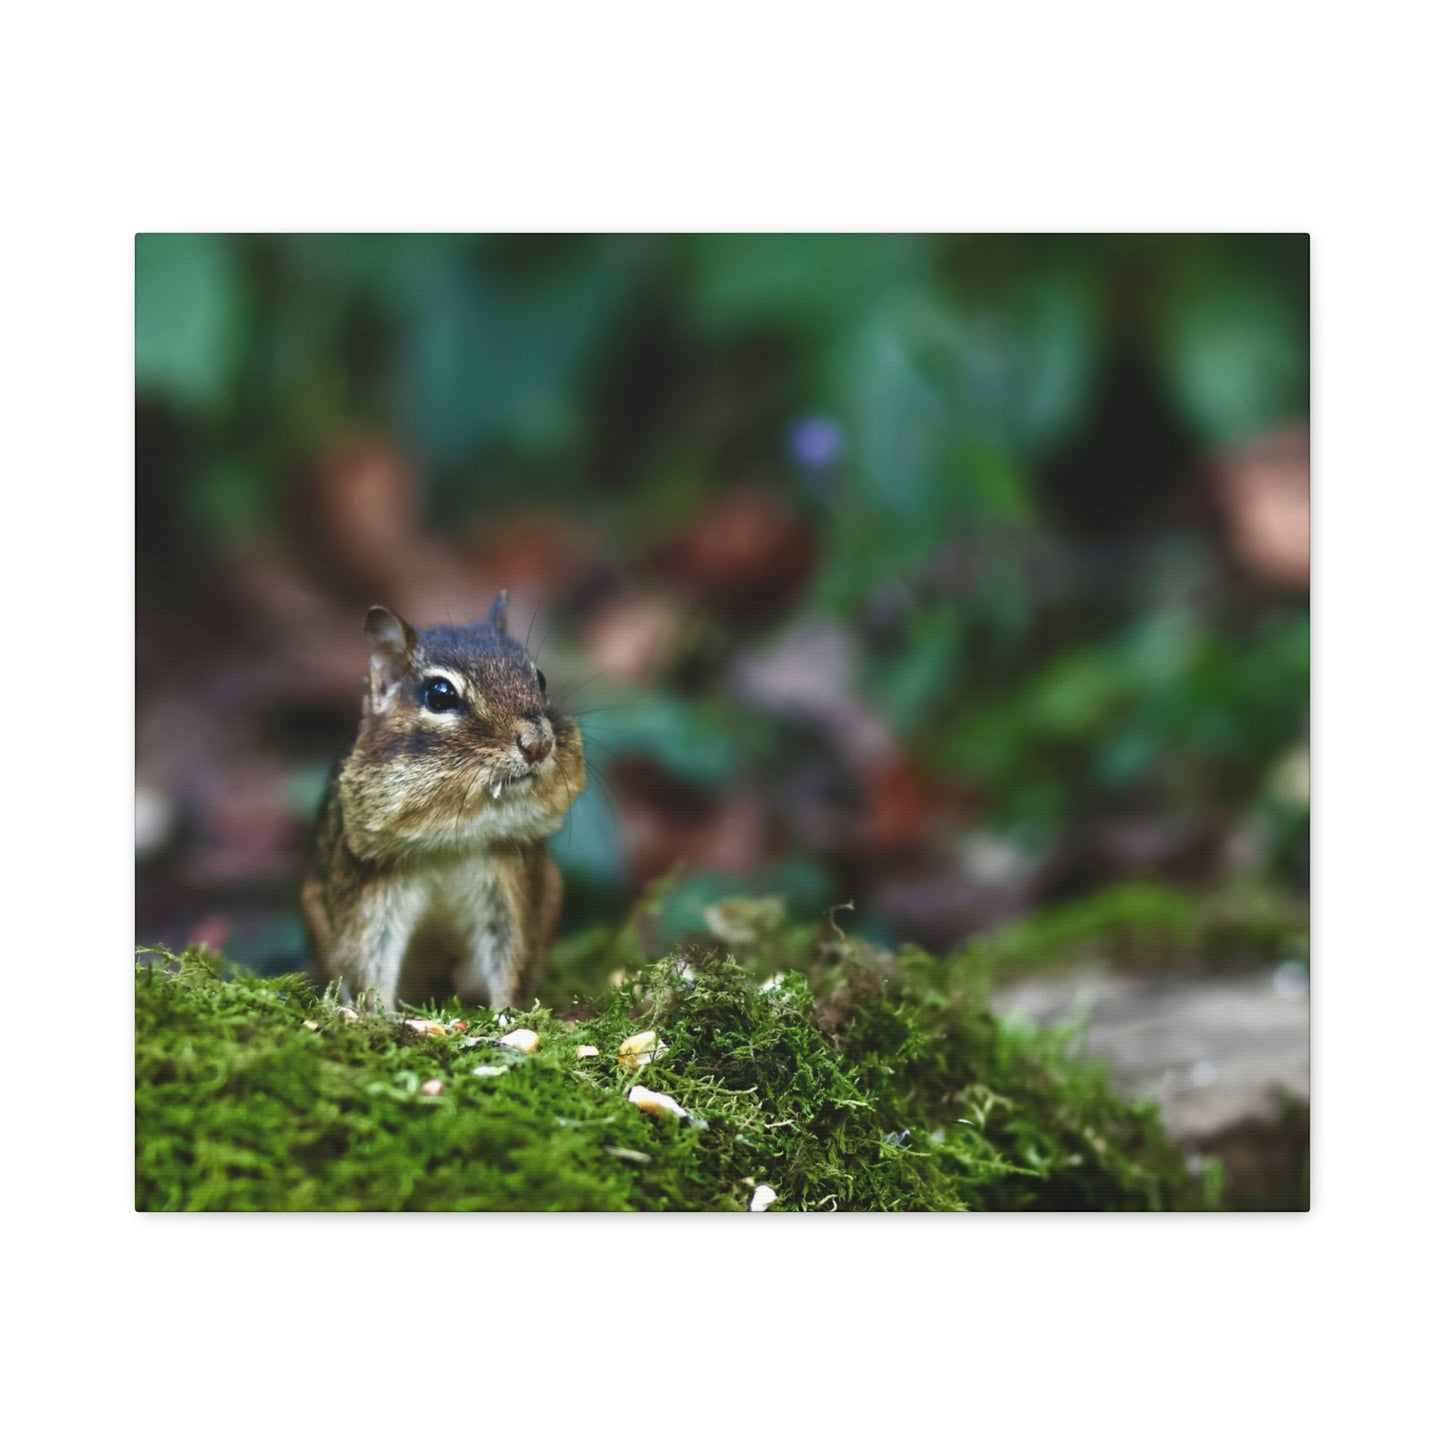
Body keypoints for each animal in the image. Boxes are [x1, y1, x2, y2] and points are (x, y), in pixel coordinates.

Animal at [301, 592, 585, 1012]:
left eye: (541, 678)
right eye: (440, 694)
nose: (538, 744)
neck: (453, 841)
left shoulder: (509, 884)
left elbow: (511, 954)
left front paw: (508, 1015)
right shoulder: (371, 891)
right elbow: (369, 958)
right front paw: (376, 1015)